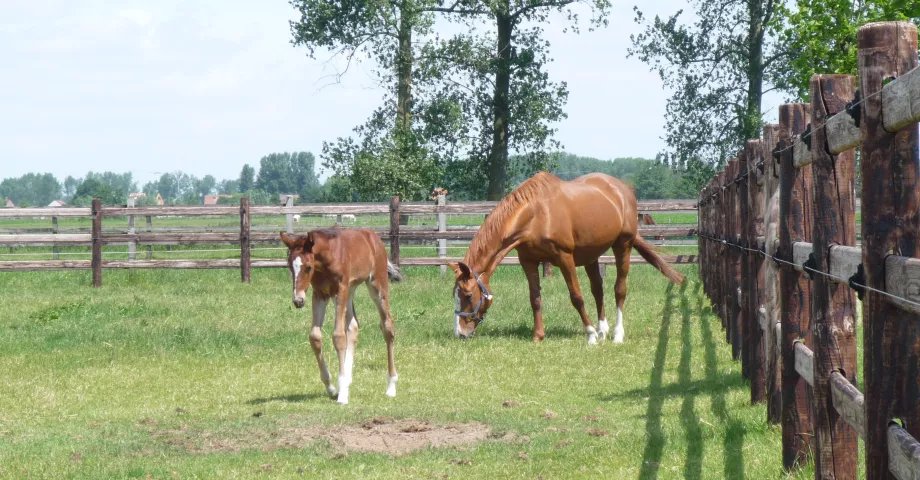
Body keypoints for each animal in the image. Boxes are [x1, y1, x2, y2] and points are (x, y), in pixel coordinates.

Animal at [280, 227, 403, 405]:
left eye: (308, 267)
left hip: (376, 284)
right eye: (290, 266)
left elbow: (338, 336)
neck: (326, 259)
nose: (298, 300)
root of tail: (372, 235)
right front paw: (332, 388)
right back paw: (348, 380)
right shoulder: (320, 294)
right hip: (350, 290)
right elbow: (315, 337)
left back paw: (391, 386)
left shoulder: (340, 290)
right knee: (353, 326)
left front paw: (343, 394)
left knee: (387, 327)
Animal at [448, 172, 685, 344]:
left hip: (623, 246)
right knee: (598, 290)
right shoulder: (528, 262)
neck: (536, 215)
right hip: (592, 255)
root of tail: (623, 189)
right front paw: (538, 336)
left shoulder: (564, 258)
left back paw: (617, 334)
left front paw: (590, 335)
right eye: (455, 295)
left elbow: (576, 297)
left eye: (468, 295)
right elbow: (535, 298)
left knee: (619, 289)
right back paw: (603, 329)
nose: (460, 333)